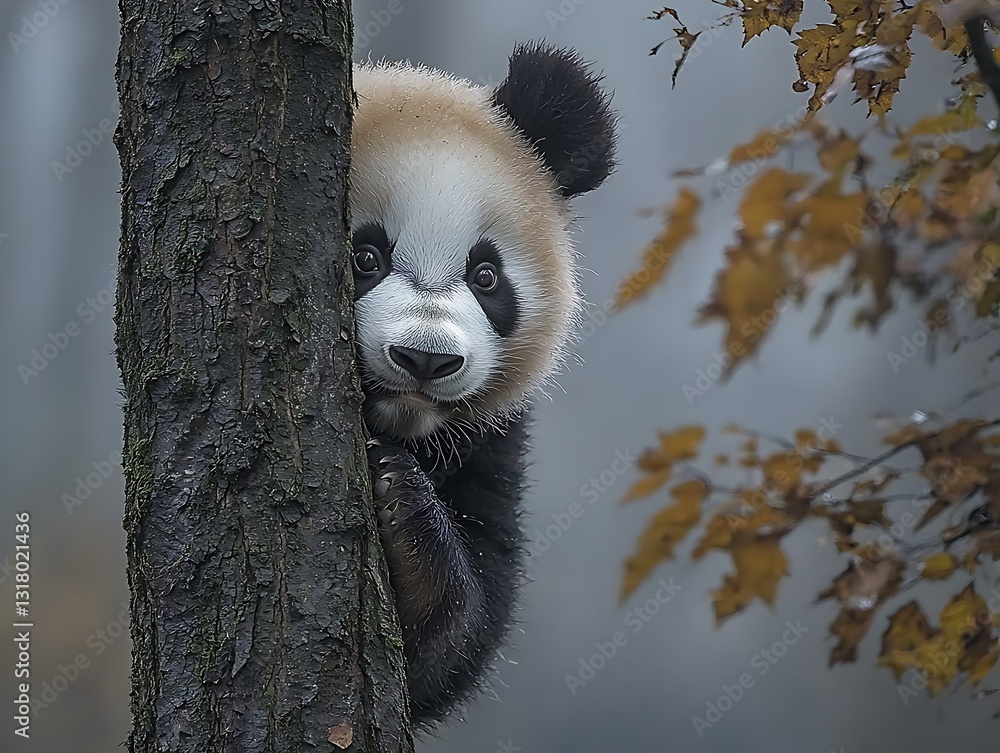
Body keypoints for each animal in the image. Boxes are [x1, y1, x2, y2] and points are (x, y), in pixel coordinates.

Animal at [350, 42, 616, 727]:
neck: (402, 424)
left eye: (486, 275)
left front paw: (404, 504)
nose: (424, 360)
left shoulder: (494, 441)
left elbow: (453, 646)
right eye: (367, 257)